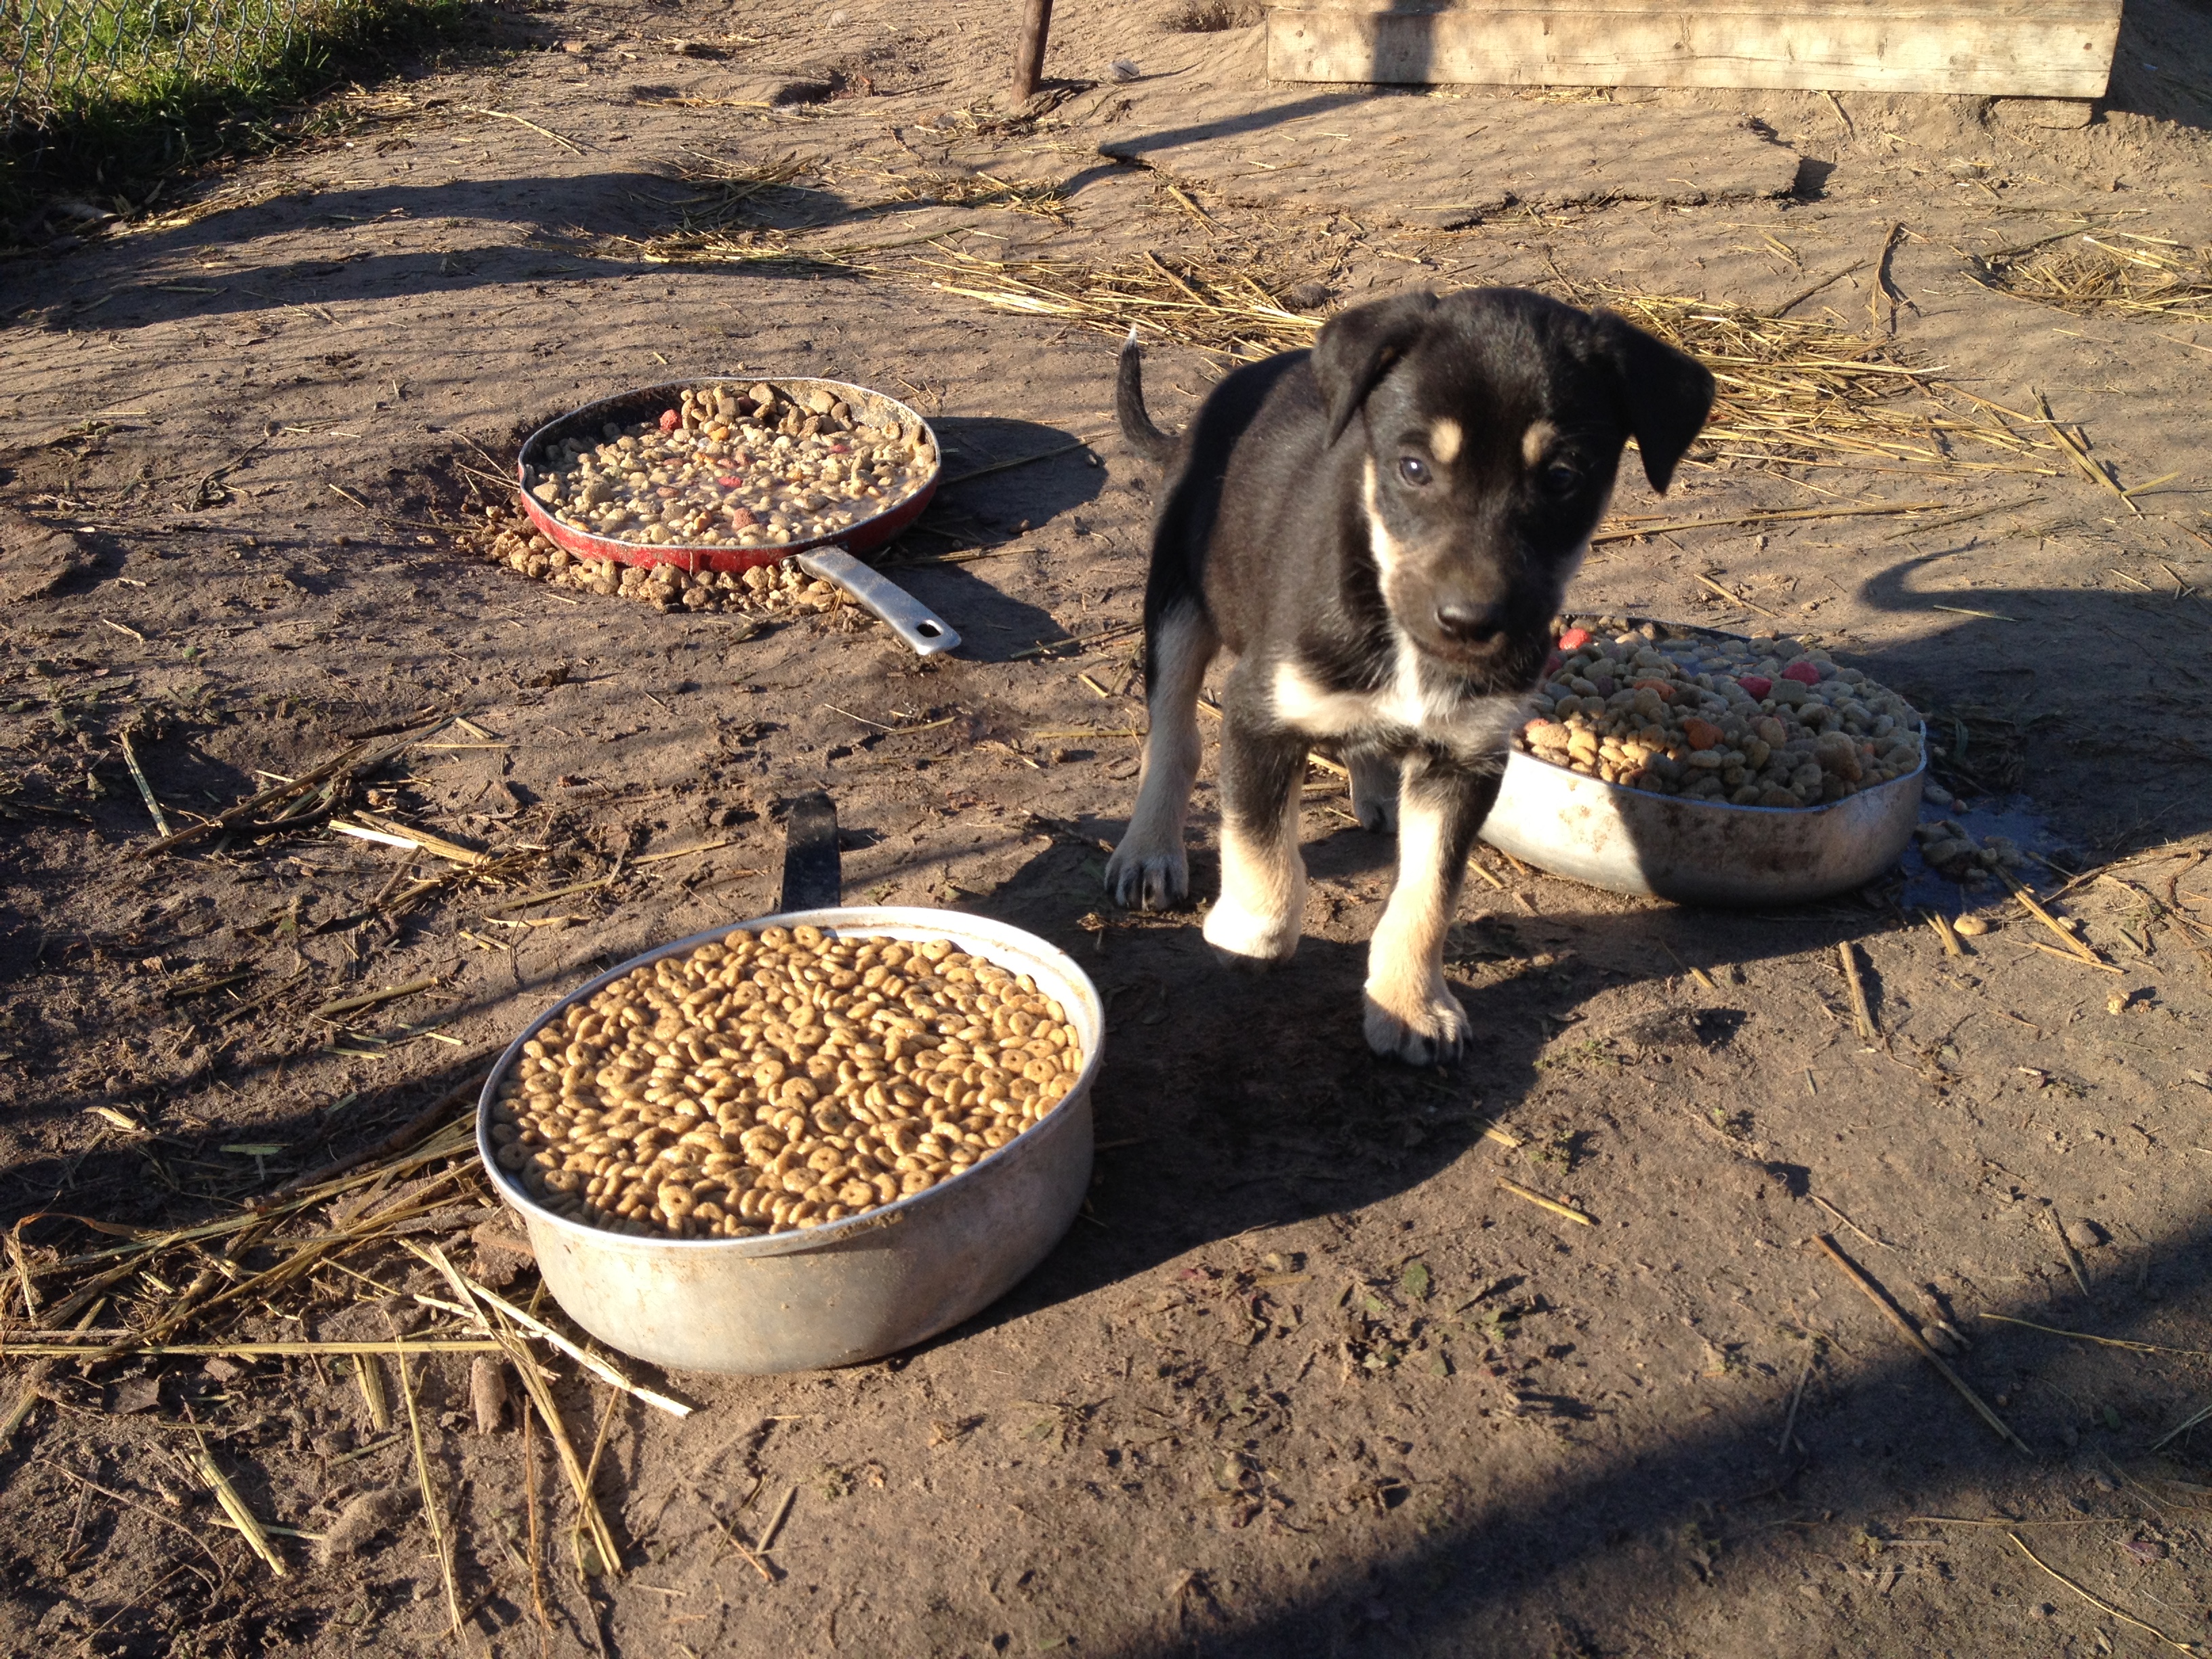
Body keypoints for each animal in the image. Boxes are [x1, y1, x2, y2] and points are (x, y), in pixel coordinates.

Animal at [1101, 285, 1707, 1066]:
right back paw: (1149, 852)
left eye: (1564, 478)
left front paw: (1411, 1004)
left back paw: (1379, 790)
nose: (1471, 623)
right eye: (1413, 469)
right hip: (1178, 599)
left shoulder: (1466, 760)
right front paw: (1250, 931)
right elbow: (1263, 847)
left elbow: (1428, 895)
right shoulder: (1261, 712)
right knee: (1174, 736)